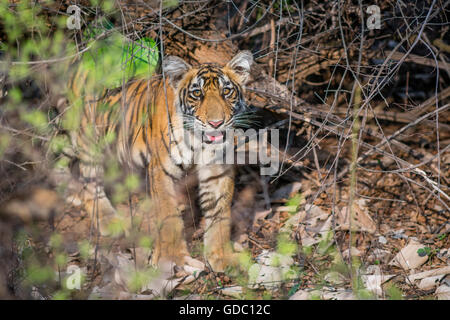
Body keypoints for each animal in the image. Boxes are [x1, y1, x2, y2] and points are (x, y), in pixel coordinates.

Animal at [62, 51, 253, 272]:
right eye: (197, 94)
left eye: (227, 91)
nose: (216, 123)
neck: (198, 140)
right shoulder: (162, 171)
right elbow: (169, 216)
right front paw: (172, 259)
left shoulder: (217, 171)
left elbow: (219, 215)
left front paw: (220, 257)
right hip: (88, 138)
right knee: (89, 180)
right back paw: (108, 220)